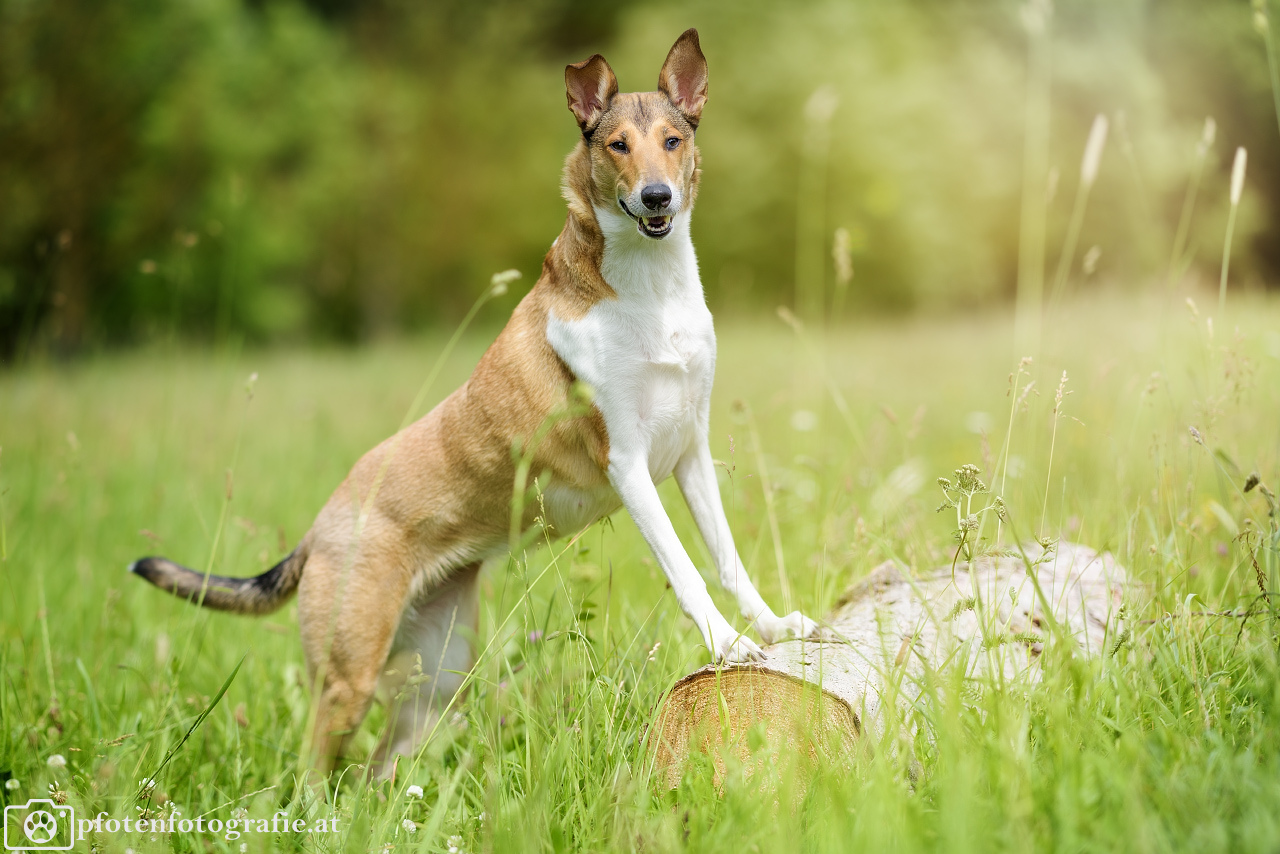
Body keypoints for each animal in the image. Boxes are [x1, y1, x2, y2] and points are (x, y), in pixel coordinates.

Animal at [132, 28, 819, 773]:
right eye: (617, 145)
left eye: (672, 139)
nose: (657, 198)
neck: (650, 287)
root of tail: (318, 528)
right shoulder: (629, 464)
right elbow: (687, 570)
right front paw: (729, 647)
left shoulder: (691, 450)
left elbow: (727, 560)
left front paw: (775, 626)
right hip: (348, 674)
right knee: (314, 770)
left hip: (437, 676)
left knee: (379, 772)